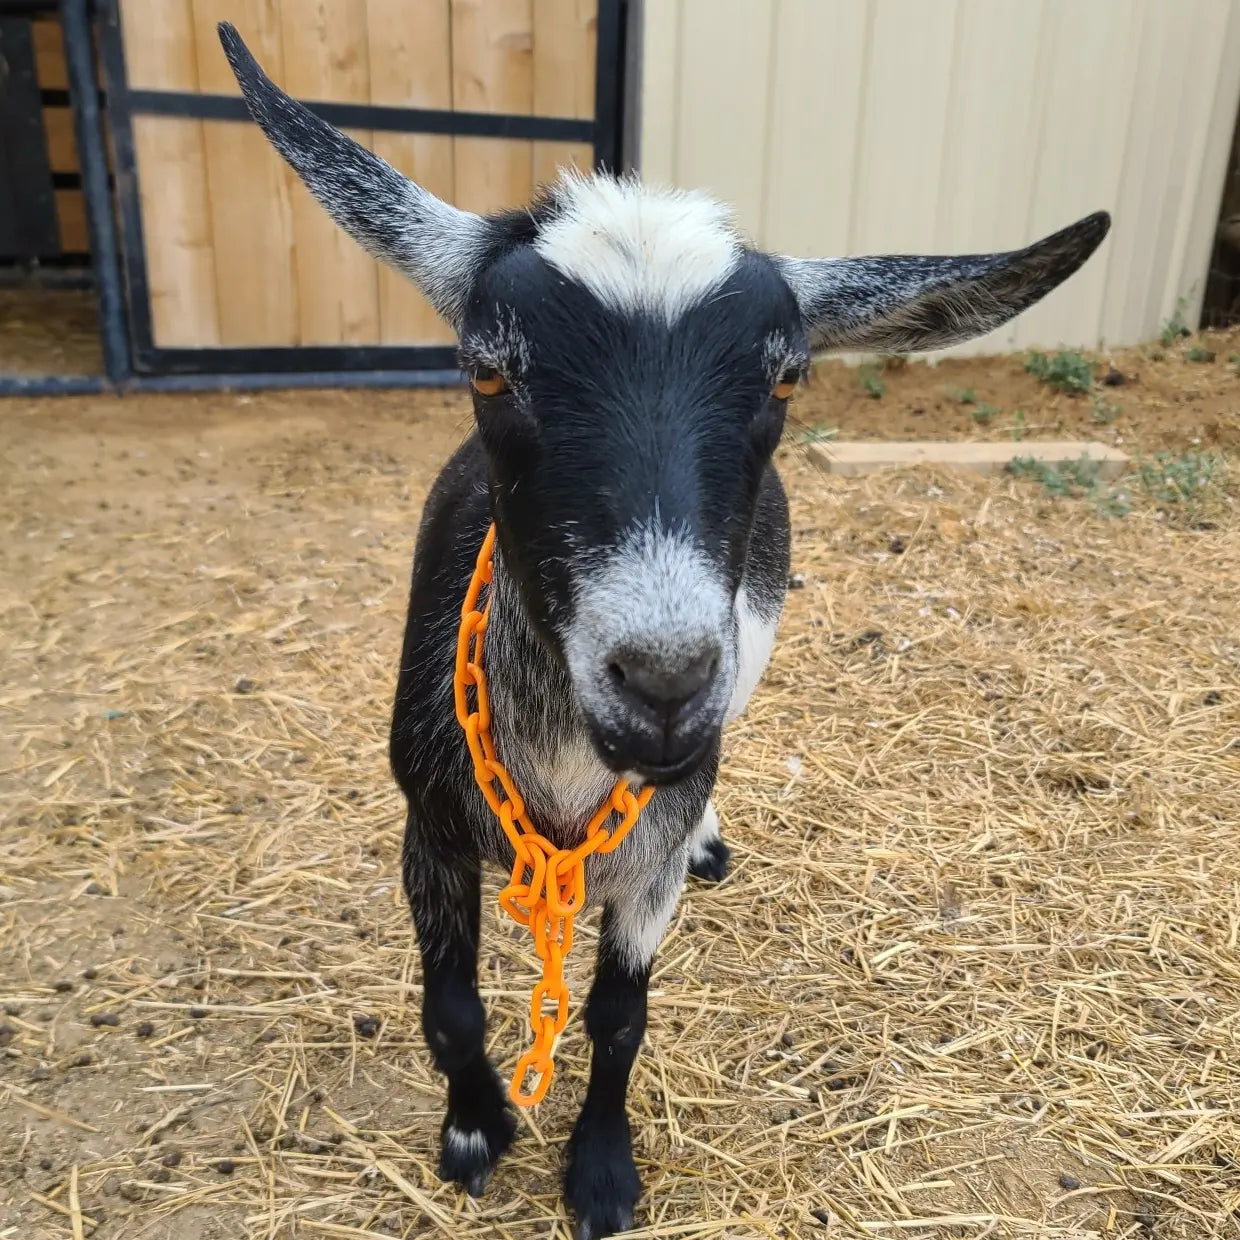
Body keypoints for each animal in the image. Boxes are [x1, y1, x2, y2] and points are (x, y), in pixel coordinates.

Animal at [219, 23, 1110, 1239]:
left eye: (786, 378)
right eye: (485, 366)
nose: (663, 684)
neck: (564, 774)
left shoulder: (645, 870)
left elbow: (618, 1017)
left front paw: (600, 1173)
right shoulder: (428, 827)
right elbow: (451, 1008)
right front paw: (476, 1128)